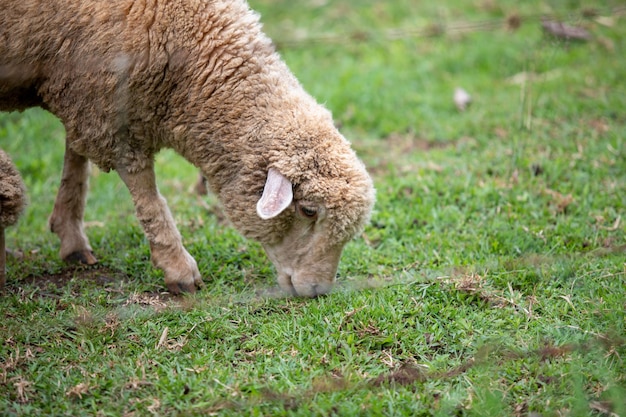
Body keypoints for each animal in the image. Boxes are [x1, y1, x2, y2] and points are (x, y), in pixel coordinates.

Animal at [0, 0, 372, 296]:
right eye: (308, 210)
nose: (318, 290)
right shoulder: (103, 102)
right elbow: (146, 193)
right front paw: (178, 269)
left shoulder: (81, 92)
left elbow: (75, 155)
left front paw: (70, 235)